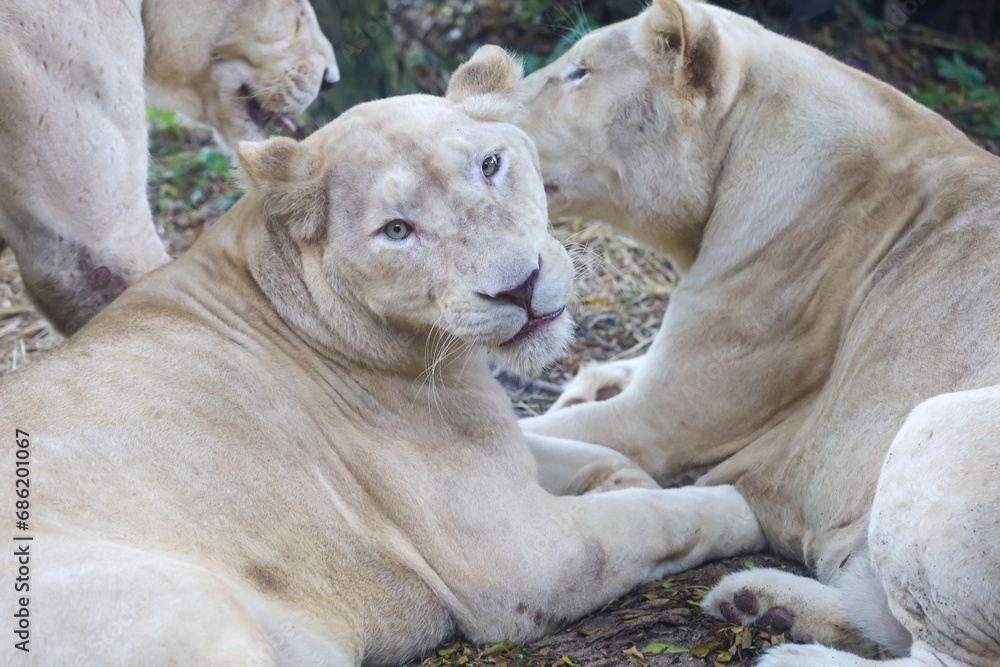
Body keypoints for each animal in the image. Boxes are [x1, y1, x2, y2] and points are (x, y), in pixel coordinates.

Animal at [0, 47, 765, 665]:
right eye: (397, 230)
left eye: (490, 165)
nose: (518, 287)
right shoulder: (522, 557)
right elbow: (654, 519)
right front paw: (735, 506)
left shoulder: (500, 450)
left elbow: (586, 455)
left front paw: (620, 477)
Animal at [513, 1, 1000, 665]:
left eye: (580, 72)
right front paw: (587, 382)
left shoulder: (661, 423)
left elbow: (543, 432)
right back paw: (760, 603)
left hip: (938, 423)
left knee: (939, 655)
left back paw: (786, 647)